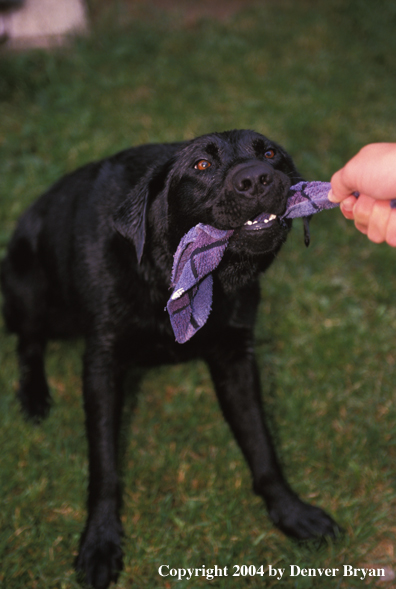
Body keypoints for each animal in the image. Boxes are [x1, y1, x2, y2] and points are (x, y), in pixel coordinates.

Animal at [1, 131, 338, 584]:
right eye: (201, 165)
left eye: (269, 153)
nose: (258, 179)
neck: (170, 279)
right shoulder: (102, 362)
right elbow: (104, 464)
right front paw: (100, 542)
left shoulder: (236, 357)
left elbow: (261, 445)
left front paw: (290, 512)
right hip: (31, 291)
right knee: (27, 341)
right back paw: (34, 396)